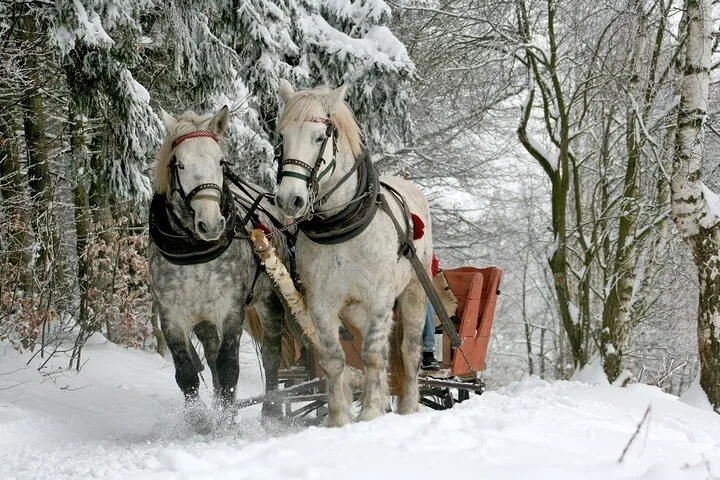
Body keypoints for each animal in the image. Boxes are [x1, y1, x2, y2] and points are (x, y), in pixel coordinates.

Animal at [148, 106, 289, 432]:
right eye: (180, 164)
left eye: (220, 162)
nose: (211, 224)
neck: (195, 253)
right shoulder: (172, 316)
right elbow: (187, 373)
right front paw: (201, 421)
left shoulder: (231, 310)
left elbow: (229, 368)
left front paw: (227, 423)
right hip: (204, 320)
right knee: (210, 357)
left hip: (269, 300)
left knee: (271, 352)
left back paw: (271, 411)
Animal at [273, 79, 433, 427]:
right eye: (282, 137)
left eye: (320, 137)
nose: (289, 199)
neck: (341, 225)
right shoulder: (321, 304)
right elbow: (334, 359)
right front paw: (339, 418)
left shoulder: (380, 299)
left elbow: (373, 355)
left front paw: (371, 411)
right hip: (356, 310)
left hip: (414, 290)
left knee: (408, 349)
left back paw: (408, 406)